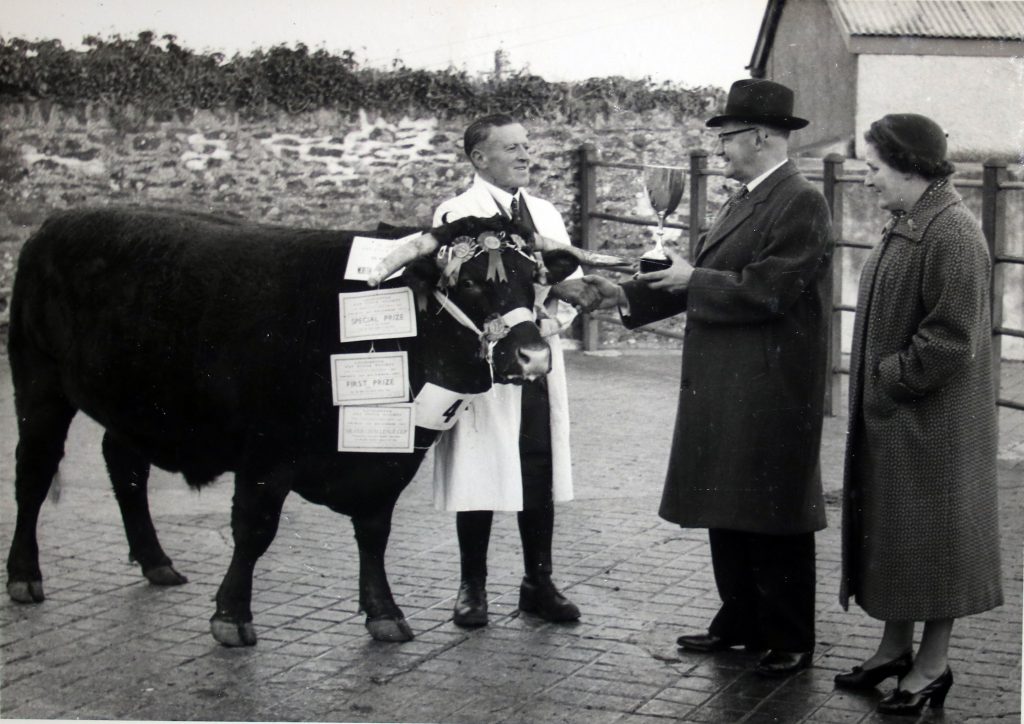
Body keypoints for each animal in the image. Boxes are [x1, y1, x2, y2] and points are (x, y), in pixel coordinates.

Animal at [6, 207, 585, 647]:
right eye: (467, 282)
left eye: (534, 281)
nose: (533, 356)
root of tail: (55, 223)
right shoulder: (266, 454)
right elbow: (254, 531)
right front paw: (231, 616)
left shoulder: (388, 460)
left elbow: (374, 532)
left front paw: (384, 612)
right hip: (39, 383)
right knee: (33, 474)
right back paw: (24, 575)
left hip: (135, 408)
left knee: (124, 466)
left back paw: (156, 561)